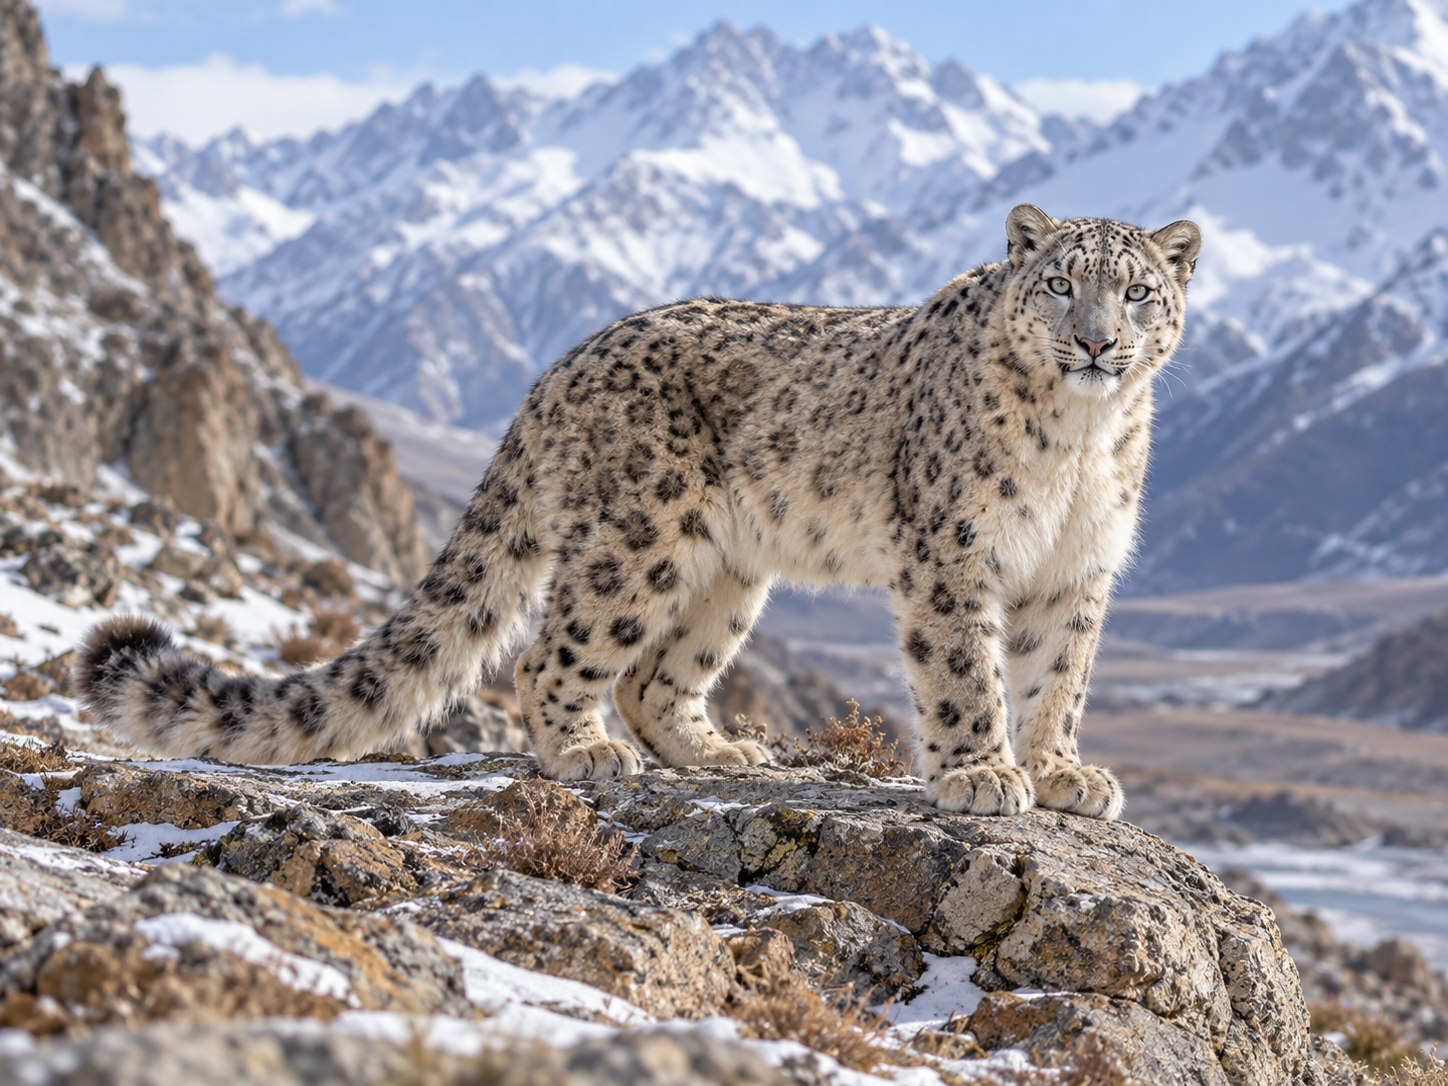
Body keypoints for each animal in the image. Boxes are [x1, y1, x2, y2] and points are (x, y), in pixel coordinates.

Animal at [76, 204, 1201, 819]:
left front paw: (1060, 772)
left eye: (1137, 291)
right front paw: (982, 773)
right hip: (636, 540)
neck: (1080, 441)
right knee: (551, 655)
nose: (1096, 341)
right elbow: (967, 671)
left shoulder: (1075, 570)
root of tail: (560, 363)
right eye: (1058, 284)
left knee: (659, 677)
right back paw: (584, 754)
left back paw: (720, 753)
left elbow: (1058, 678)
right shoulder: (955, 554)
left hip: (728, 571)